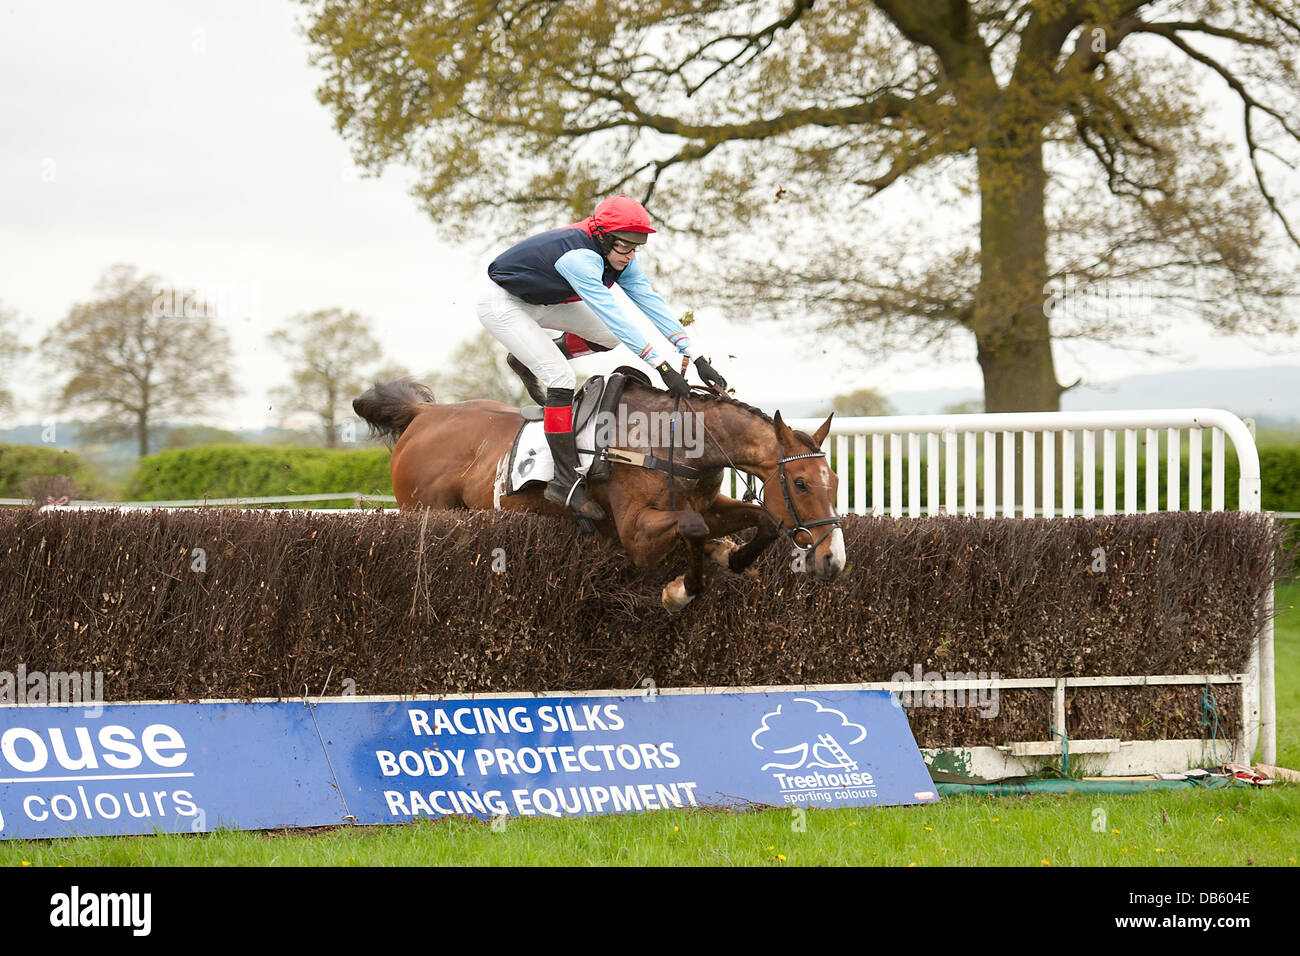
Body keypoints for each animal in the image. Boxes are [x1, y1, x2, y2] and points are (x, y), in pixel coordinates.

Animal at [351, 377, 847, 608]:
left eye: (836, 482)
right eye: (800, 483)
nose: (833, 561)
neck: (671, 439)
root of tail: (424, 413)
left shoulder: (708, 501)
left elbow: (762, 520)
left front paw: (730, 555)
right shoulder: (634, 534)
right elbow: (692, 526)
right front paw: (682, 588)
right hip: (423, 511)